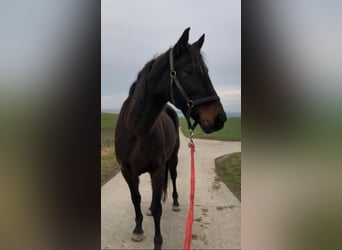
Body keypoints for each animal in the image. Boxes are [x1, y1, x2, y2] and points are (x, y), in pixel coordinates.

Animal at [115, 27, 227, 250]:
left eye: (207, 71)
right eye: (189, 71)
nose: (220, 118)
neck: (137, 130)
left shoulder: (158, 169)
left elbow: (158, 206)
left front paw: (158, 243)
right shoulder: (127, 172)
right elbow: (136, 199)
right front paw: (138, 229)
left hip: (172, 159)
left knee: (173, 177)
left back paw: (174, 202)